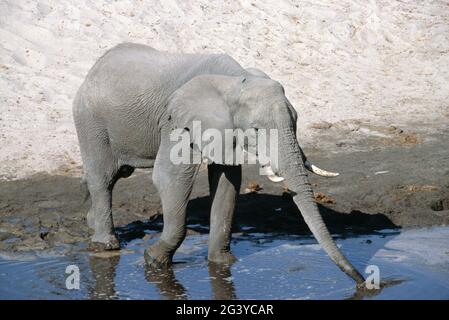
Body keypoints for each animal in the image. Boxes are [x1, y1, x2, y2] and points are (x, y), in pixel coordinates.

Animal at [72, 42, 362, 284]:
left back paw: (91, 224)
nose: (362, 282)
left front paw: (222, 263)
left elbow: (227, 183)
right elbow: (170, 178)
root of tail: (93, 69)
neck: (235, 79)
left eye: (297, 121)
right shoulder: (179, 120)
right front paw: (153, 261)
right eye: (256, 129)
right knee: (103, 178)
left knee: (115, 174)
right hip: (90, 121)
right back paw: (106, 245)